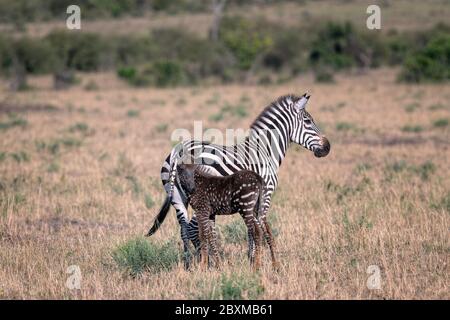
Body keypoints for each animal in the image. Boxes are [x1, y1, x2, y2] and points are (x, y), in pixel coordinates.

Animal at [147, 93, 330, 270]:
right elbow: (259, 227)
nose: (327, 147)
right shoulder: (266, 192)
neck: (264, 150)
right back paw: (207, 263)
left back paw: (189, 264)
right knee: (193, 228)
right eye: (308, 121)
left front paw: (252, 259)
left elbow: (252, 228)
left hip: (178, 197)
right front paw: (257, 261)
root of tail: (179, 150)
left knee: (185, 229)